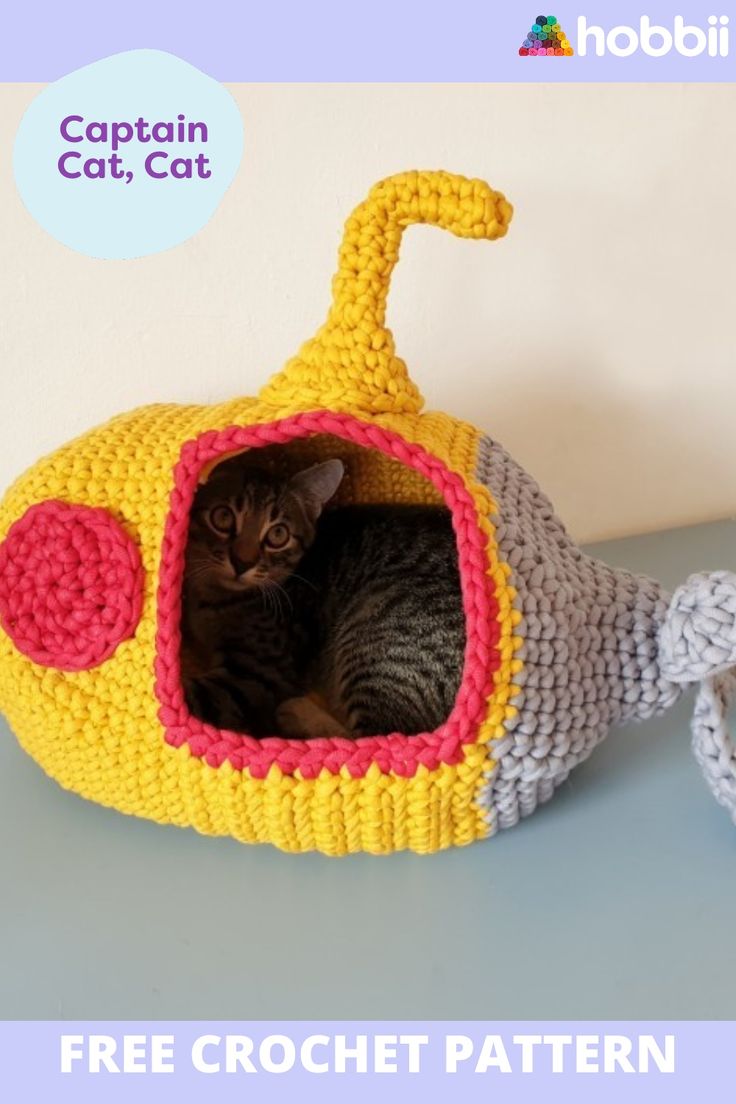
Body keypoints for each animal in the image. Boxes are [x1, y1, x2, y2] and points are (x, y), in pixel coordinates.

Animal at [180, 452, 463, 737]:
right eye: (223, 517)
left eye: (278, 534)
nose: (241, 563)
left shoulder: (259, 673)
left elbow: (191, 695)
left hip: (379, 634)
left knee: (379, 738)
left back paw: (296, 713)